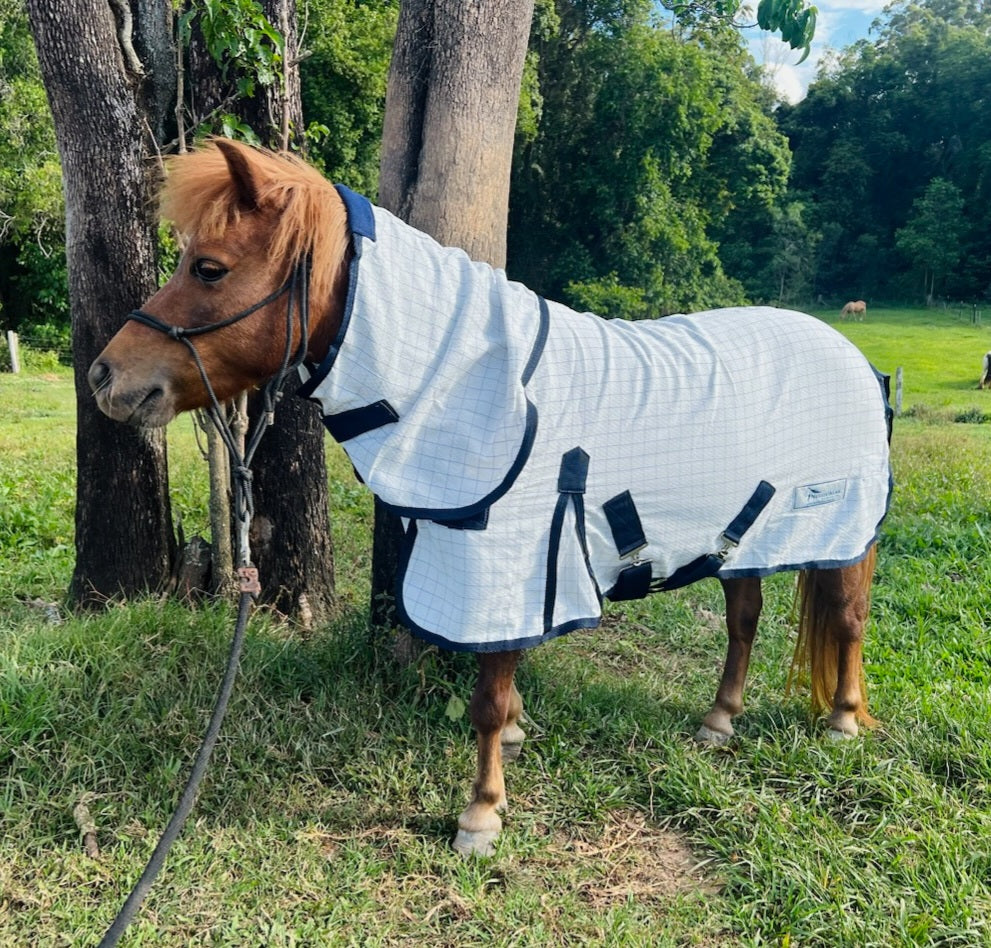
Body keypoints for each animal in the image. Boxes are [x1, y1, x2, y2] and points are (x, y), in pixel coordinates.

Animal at [89, 141, 893, 858]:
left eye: (209, 268)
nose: (104, 376)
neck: (457, 378)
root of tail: (853, 356)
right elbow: (501, 688)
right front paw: (512, 739)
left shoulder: (504, 565)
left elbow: (485, 697)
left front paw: (480, 814)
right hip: (739, 540)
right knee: (744, 620)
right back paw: (719, 721)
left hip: (842, 535)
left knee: (848, 619)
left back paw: (841, 723)